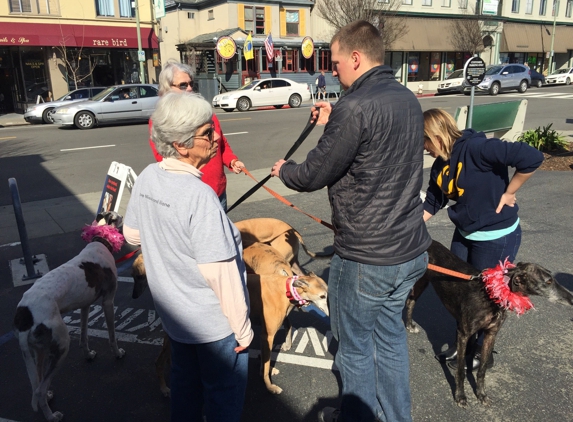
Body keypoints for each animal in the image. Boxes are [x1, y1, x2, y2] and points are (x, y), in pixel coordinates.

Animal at [404, 239, 568, 408]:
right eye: (548, 281)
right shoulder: (464, 334)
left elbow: (482, 370)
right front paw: (460, 396)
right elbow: (461, 371)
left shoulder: (491, 334)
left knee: (411, 301)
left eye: (552, 278)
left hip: (422, 281)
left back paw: (410, 325)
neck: (493, 294)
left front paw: (481, 394)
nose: (571, 297)